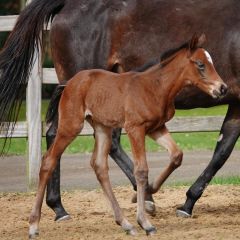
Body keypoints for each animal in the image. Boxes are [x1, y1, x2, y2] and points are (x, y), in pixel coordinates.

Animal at [28, 34, 227, 238]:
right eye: (200, 64)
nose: (222, 88)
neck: (156, 87)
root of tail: (68, 83)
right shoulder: (135, 129)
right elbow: (141, 170)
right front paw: (145, 222)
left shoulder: (157, 128)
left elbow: (176, 155)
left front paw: (149, 192)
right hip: (71, 126)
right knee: (48, 160)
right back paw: (34, 225)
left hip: (102, 127)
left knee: (99, 166)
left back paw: (125, 224)